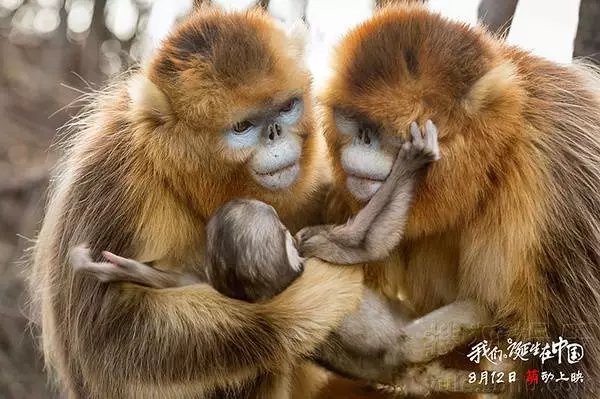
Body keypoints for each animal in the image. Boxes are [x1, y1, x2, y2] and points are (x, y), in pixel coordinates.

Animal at [28, 8, 364, 399]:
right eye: (243, 127)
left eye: (286, 107)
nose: (275, 133)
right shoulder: (119, 183)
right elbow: (107, 340)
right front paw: (311, 296)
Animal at [70, 120, 438, 302]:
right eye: (281, 230)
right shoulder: (308, 247)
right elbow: (366, 240)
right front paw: (413, 159)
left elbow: (183, 279)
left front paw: (113, 269)